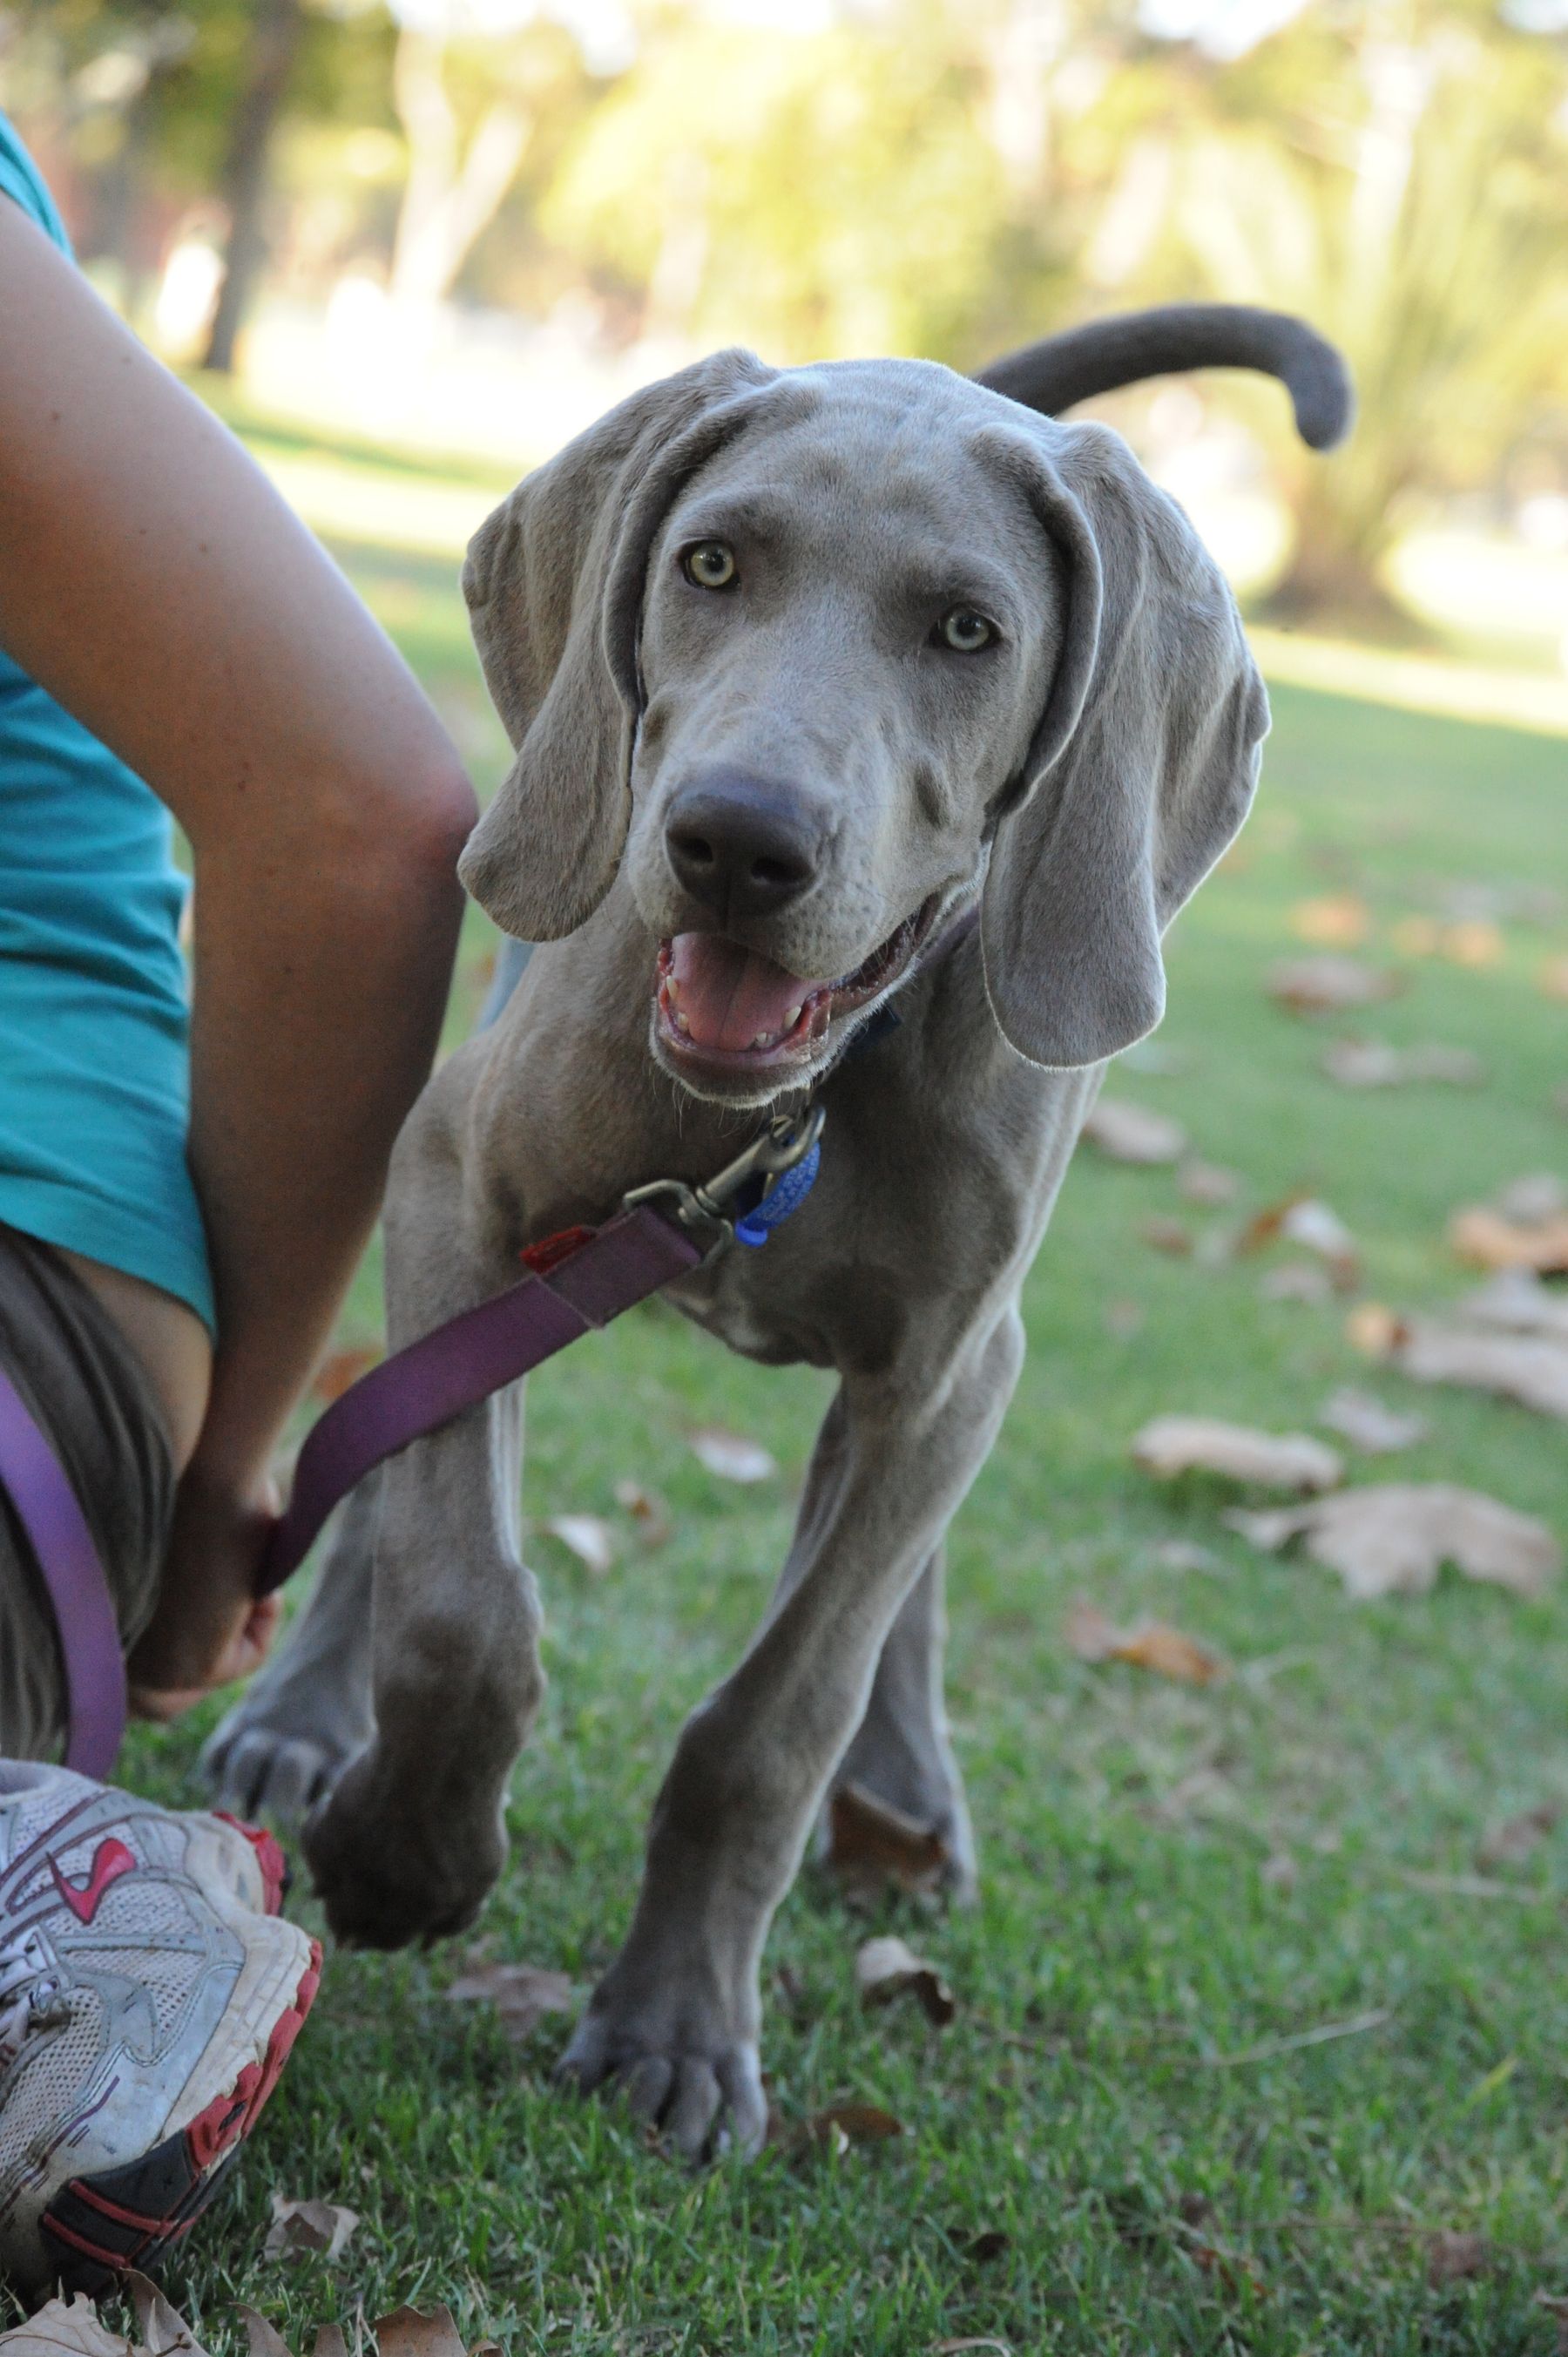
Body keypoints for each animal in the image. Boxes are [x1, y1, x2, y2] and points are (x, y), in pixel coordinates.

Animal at [205, 303, 1348, 2158]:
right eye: (712, 564)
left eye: (968, 631)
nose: (737, 841)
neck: (796, 1106)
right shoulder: (463, 1179)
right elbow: (462, 1592)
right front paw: (403, 1852)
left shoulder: (941, 1366)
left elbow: (779, 1711)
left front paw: (676, 2024)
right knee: (391, 1476)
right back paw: (308, 1719)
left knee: (901, 1577)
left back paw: (904, 1785)